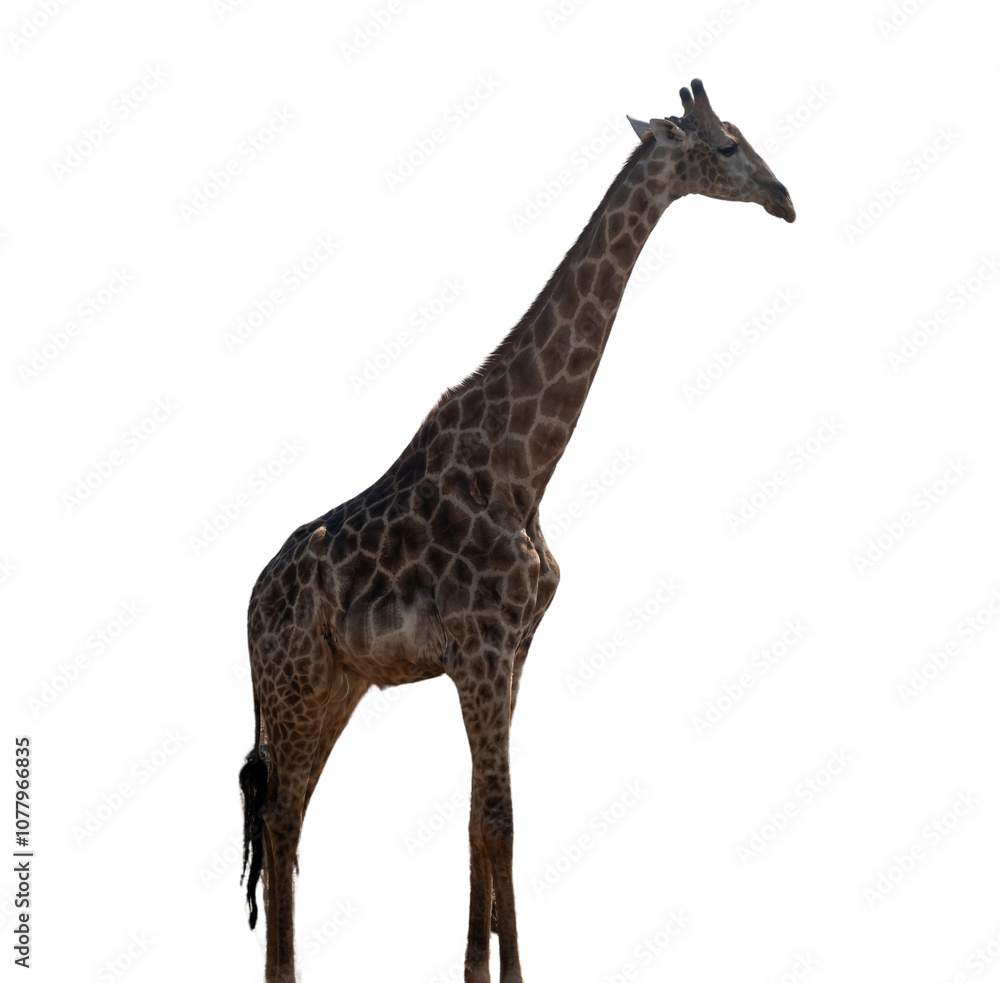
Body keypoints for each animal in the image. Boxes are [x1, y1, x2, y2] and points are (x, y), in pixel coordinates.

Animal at [239, 78, 794, 983]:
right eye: (724, 146)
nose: (785, 199)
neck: (525, 464)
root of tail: (248, 605)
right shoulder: (484, 645)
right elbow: (501, 817)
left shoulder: (512, 648)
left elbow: (477, 818)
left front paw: (474, 970)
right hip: (294, 682)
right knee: (282, 813)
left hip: (335, 683)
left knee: (289, 816)